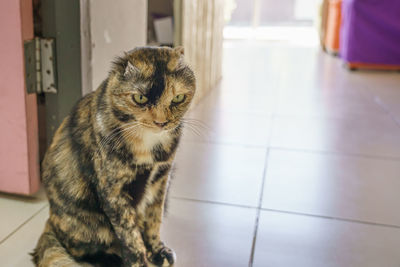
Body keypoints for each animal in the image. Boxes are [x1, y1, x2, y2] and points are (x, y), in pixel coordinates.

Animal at [31, 46, 195, 267]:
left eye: (178, 98)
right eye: (140, 98)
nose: (161, 122)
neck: (148, 144)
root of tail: (51, 218)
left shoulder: (161, 180)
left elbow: (154, 219)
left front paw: (157, 251)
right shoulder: (114, 192)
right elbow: (129, 235)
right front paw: (139, 261)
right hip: (89, 223)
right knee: (78, 248)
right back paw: (112, 259)